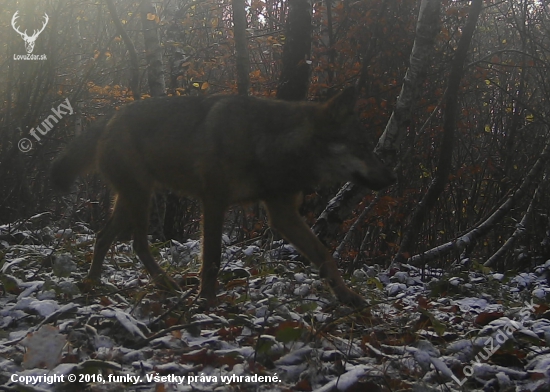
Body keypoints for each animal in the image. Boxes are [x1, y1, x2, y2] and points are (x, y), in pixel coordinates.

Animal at [50, 89, 396, 306]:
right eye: (363, 148)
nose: (392, 178)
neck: (269, 144)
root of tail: (111, 116)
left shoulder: (283, 214)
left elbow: (324, 254)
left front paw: (348, 296)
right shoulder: (214, 202)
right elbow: (213, 258)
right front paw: (206, 301)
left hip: (134, 199)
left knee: (104, 237)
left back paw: (96, 283)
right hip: (140, 197)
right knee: (135, 243)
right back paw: (160, 283)